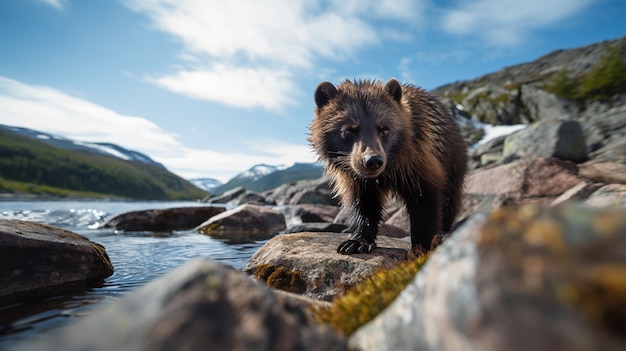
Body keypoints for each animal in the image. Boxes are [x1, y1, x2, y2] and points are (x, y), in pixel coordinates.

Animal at [310, 78, 466, 258]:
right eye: (349, 130)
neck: (389, 169)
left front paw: (421, 247)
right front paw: (357, 241)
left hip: (453, 161)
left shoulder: (418, 163)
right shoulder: (355, 179)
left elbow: (426, 203)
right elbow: (363, 204)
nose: (373, 160)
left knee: (450, 199)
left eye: (384, 129)